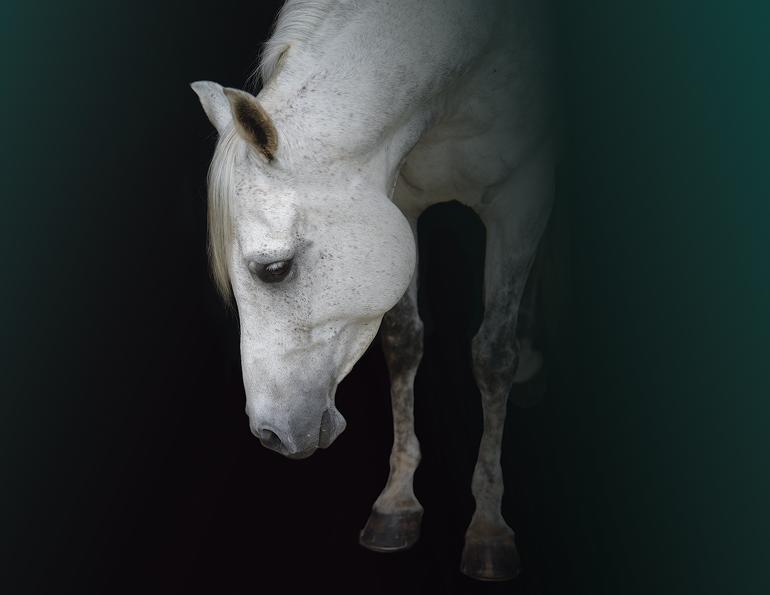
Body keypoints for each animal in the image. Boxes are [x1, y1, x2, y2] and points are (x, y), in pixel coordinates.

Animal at [191, 0, 554, 581]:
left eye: (275, 269)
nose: (270, 434)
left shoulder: (522, 201)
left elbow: (493, 355)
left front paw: (490, 527)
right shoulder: (398, 203)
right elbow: (404, 340)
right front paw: (397, 502)